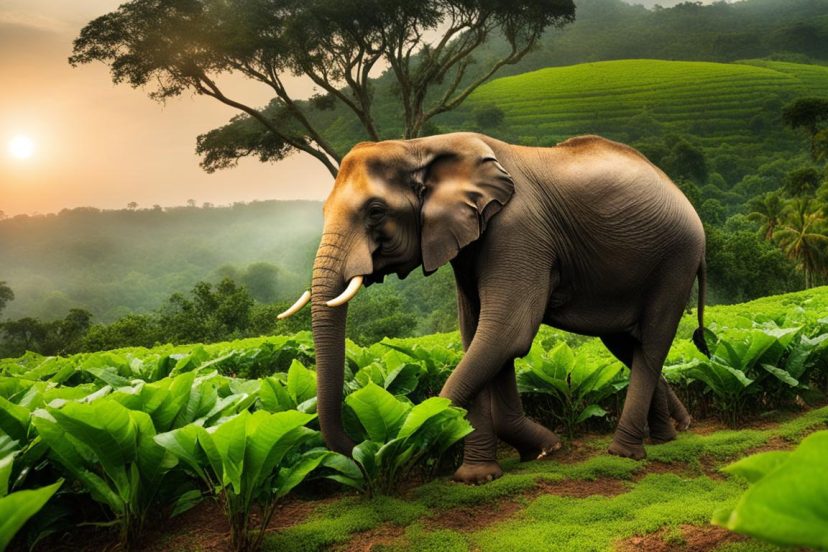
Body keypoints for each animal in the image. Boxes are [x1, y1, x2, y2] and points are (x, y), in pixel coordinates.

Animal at [278, 132, 708, 484]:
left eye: (376, 211)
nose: (365, 447)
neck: (421, 145)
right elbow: (479, 338)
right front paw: (495, 470)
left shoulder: (519, 231)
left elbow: (504, 335)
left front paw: (433, 437)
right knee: (626, 344)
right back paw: (670, 434)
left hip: (677, 258)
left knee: (651, 342)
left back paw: (625, 453)